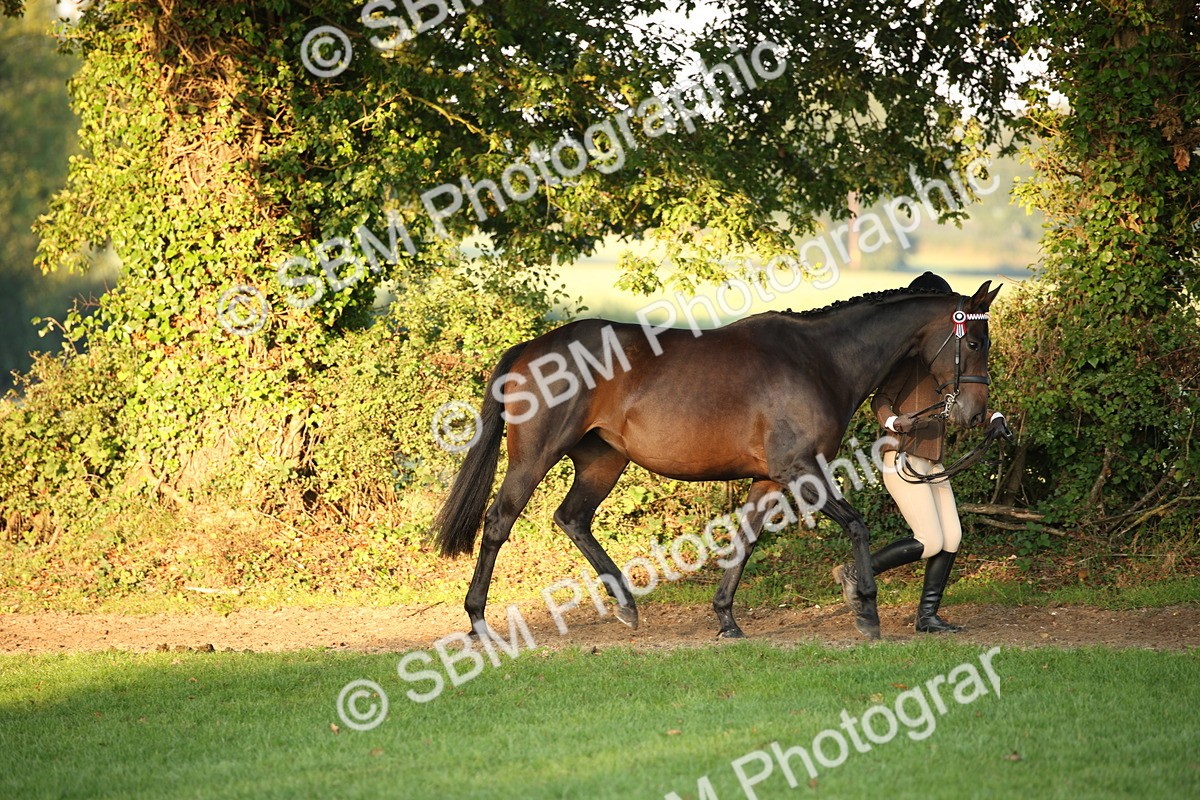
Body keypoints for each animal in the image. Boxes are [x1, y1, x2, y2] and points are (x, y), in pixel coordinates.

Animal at [433, 281, 1001, 640]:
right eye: (974, 340)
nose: (975, 414)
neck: (820, 360)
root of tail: (530, 349)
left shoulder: (769, 480)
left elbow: (744, 543)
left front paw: (726, 620)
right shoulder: (802, 469)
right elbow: (857, 525)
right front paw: (865, 610)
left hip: (603, 461)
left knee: (572, 518)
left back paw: (627, 606)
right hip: (535, 458)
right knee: (498, 522)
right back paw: (478, 621)